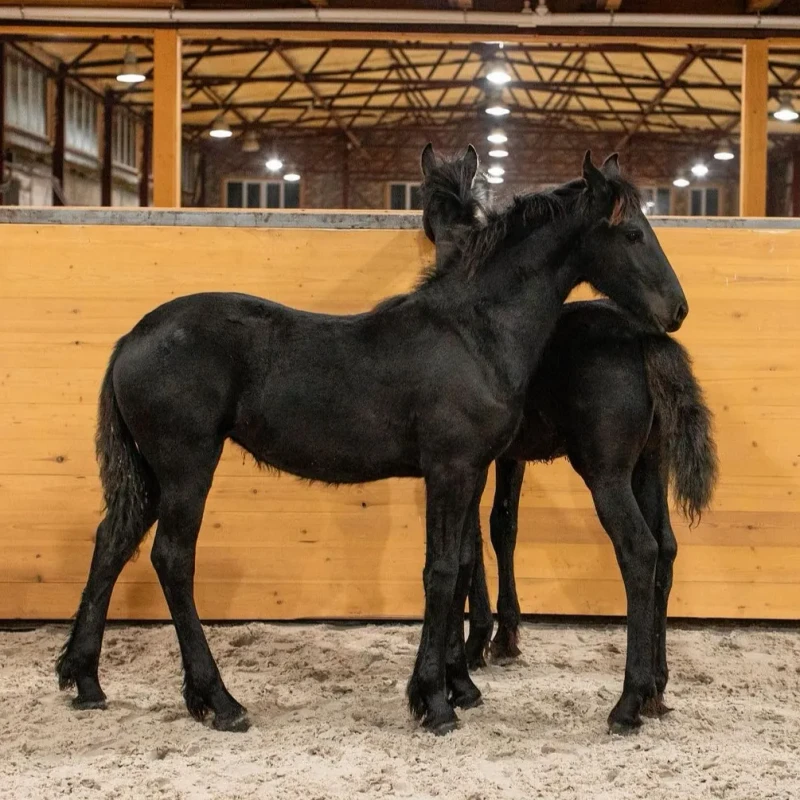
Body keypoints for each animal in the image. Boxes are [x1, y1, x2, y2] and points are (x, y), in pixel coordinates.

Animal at [56, 148, 687, 736]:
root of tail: (132, 338)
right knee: (171, 558)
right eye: (632, 232)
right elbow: (441, 572)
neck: (473, 331)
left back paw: (86, 680)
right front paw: (434, 701)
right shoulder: (451, 468)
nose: (677, 309)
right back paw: (220, 701)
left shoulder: (472, 469)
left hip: (155, 474)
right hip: (187, 466)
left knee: (114, 541)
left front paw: (449, 687)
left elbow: (460, 565)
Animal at [418, 144, 717, 732]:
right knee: (667, 549)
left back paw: (628, 702)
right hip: (650, 465)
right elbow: (501, 527)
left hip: (607, 473)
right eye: (429, 218)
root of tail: (646, 339)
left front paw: (466, 659)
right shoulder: (507, 458)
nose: (678, 308)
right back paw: (658, 687)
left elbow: (467, 549)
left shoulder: (472, 462)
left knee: (640, 550)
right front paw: (500, 638)